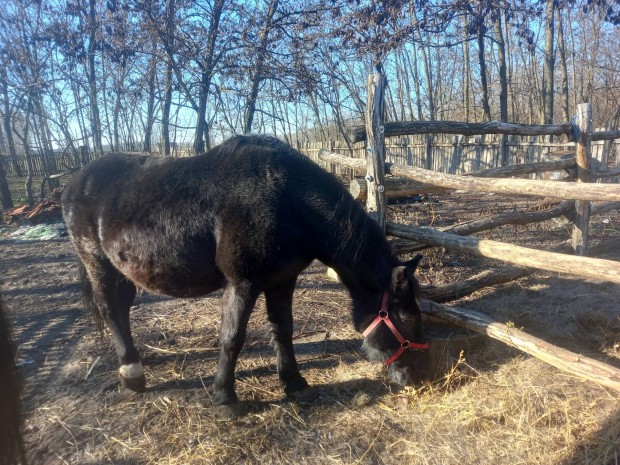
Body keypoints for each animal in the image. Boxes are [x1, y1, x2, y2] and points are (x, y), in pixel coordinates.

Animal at [63, 134, 432, 416]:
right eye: (405, 317)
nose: (418, 376)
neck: (286, 198)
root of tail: (76, 180)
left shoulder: (283, 280)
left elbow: (283, 331)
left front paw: (295, 384)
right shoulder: (242, 284)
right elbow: (232, 338)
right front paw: (225, 398)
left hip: (120, 271)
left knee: (122, 309)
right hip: (98, 264)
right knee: (112, 311)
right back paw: (132, 376)